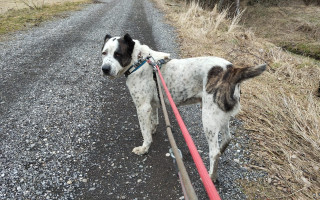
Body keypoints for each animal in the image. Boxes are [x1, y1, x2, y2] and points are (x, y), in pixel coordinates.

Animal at [101, 33, 266, 181]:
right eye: (104, 53)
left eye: (118, 54)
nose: (105, 69)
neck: (139, 61)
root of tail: (232, 70)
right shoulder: (152, 104)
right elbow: (153, 120)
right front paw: (152, 129)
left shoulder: (142, 106)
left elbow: (144, 131)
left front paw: (144, 148)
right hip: (221, 115)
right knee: (226, 139)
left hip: (209, 118)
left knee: (214, 152)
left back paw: (210, 177)